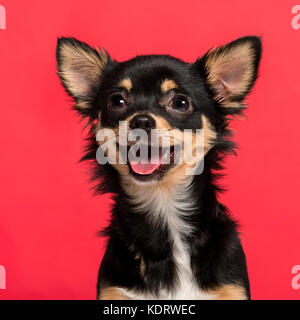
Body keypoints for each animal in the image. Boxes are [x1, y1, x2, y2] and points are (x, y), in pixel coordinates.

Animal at [55, 35, 260, 300]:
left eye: (180, 103)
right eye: (117, 101)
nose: (141, 120)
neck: (163, 204)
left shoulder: (231, 289)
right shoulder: (115, 292)